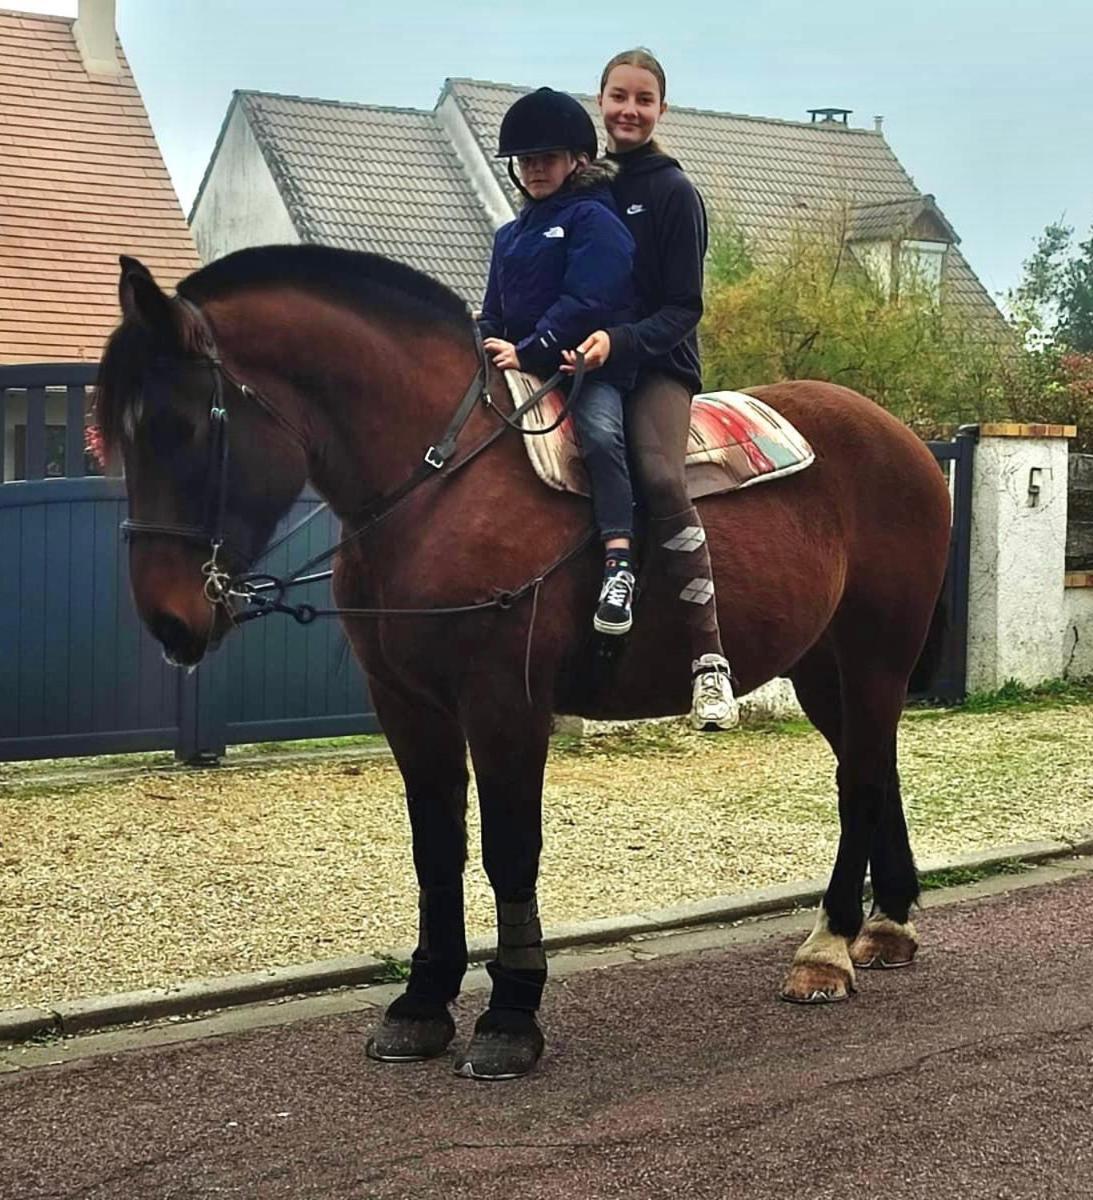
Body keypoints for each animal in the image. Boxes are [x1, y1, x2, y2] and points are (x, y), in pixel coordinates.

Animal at [98, 243, 955, 1080]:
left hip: (874, 655)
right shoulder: (407, 706)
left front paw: (509, 1016)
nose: (169, 619)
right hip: (821, 668)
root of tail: (903, 438)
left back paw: (827, 948)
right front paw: (421, 1004)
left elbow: (508, 850)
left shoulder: (503, 703)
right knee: (872, 768)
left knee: (858, 782)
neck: (442, 486)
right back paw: (886, 925)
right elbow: (435, 849)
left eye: (183, 427)